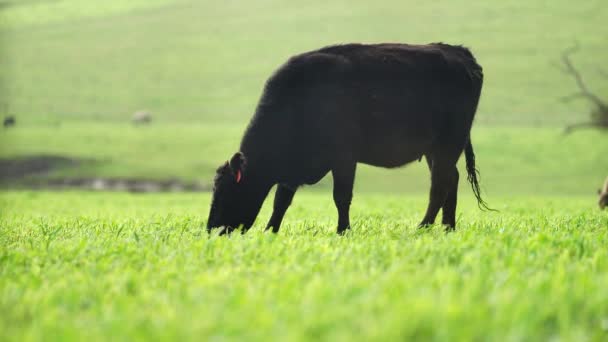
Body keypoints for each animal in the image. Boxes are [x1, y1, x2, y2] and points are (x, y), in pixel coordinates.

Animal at [207, 42, 492, 235]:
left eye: (225, 191)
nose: (212, 230)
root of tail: (458, 52)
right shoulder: (293, 170)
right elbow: (281, 201)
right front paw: (270, 231)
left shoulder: (343, 158)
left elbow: (341, 197)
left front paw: (343, 231)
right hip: (435, 148)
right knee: (451, 179)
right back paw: (448, 228)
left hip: (448, 142)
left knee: (439, 185)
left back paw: (422, 227)